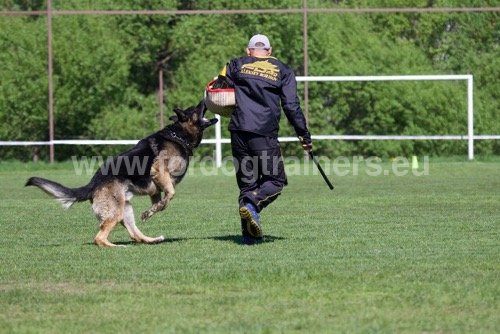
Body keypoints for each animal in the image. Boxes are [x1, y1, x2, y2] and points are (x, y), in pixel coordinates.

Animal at [25, 100, 217, 247]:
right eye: (195, 108)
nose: (204, 99)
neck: (178, 135)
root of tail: (92, 184)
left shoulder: (155, 188)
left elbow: (160, 201)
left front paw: (151, 211)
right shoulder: (159, 171)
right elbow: (170, 194)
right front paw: (157, 207)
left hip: (126, 208)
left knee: (134, 234)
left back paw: (152, 240)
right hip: (116, 212)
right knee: (99, 238)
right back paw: (118, 246)